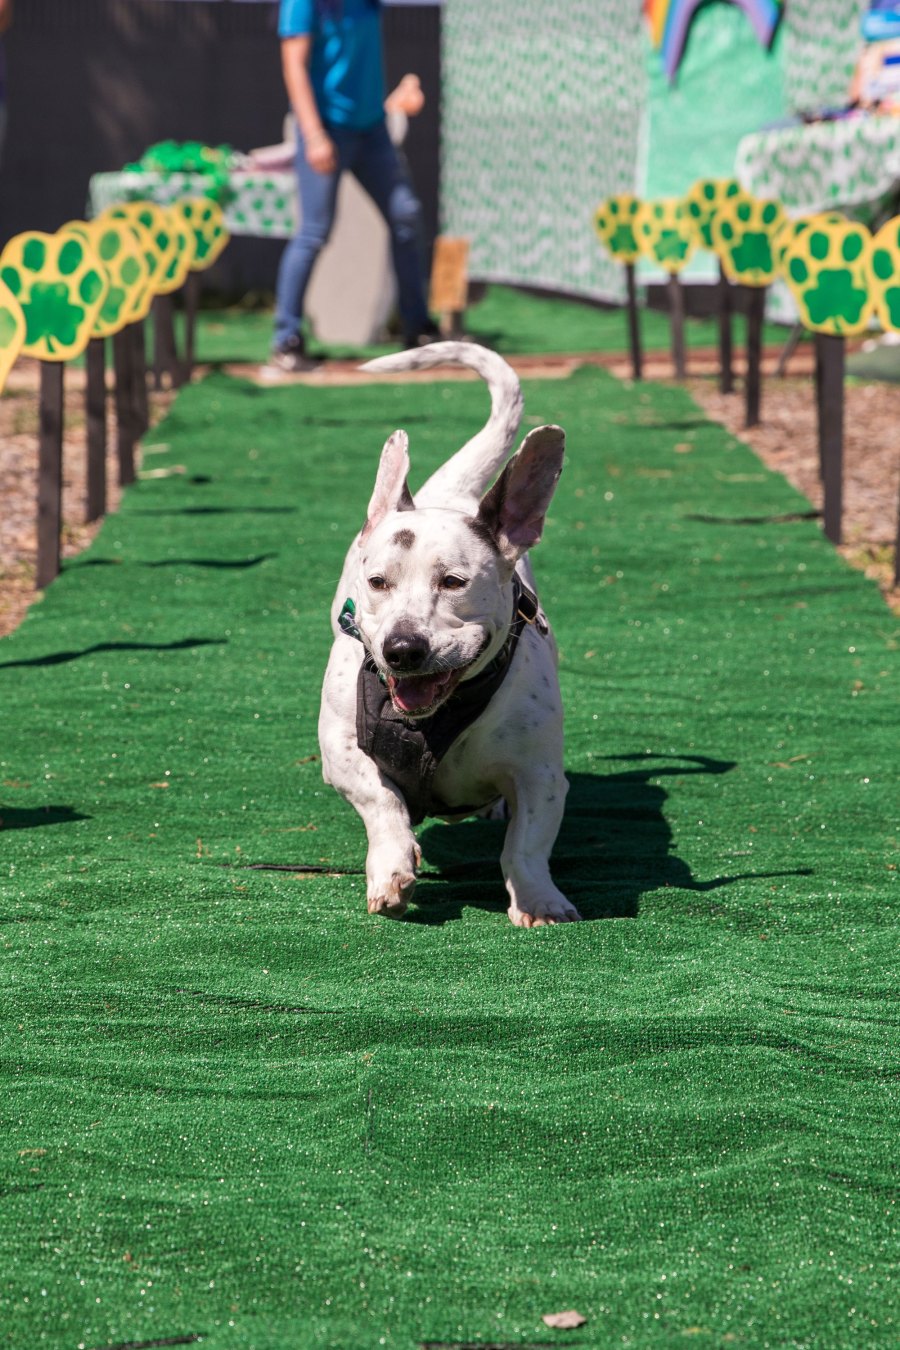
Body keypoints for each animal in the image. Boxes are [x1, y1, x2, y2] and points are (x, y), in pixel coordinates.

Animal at [319, 337, 580, 928]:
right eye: (378, 582)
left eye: (454, 581)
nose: (402, 648)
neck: (436, 715)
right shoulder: (340, 750)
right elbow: (382, 802)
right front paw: (392, 867)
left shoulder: (540, 775)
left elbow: (526, 845)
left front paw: (539, 900)